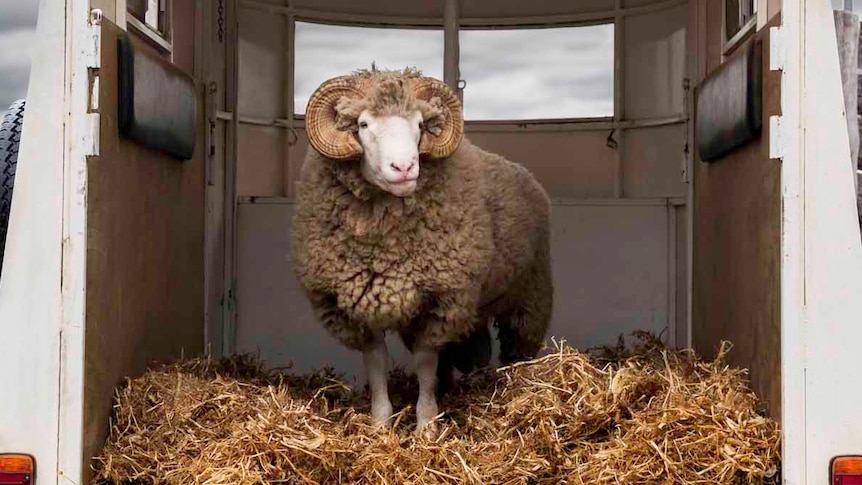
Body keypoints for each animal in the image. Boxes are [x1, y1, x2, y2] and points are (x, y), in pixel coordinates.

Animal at [294, 67, 556, 434]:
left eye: (419, 124)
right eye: (363, 124)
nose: (404, 168)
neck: (383, 246)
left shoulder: (441, 301)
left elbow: (424, 361)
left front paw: (426, 424)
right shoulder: (357, 306)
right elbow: (377, 361)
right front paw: (380, 423)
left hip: (529, 295)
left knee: (519, 347)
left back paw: (520, 383)